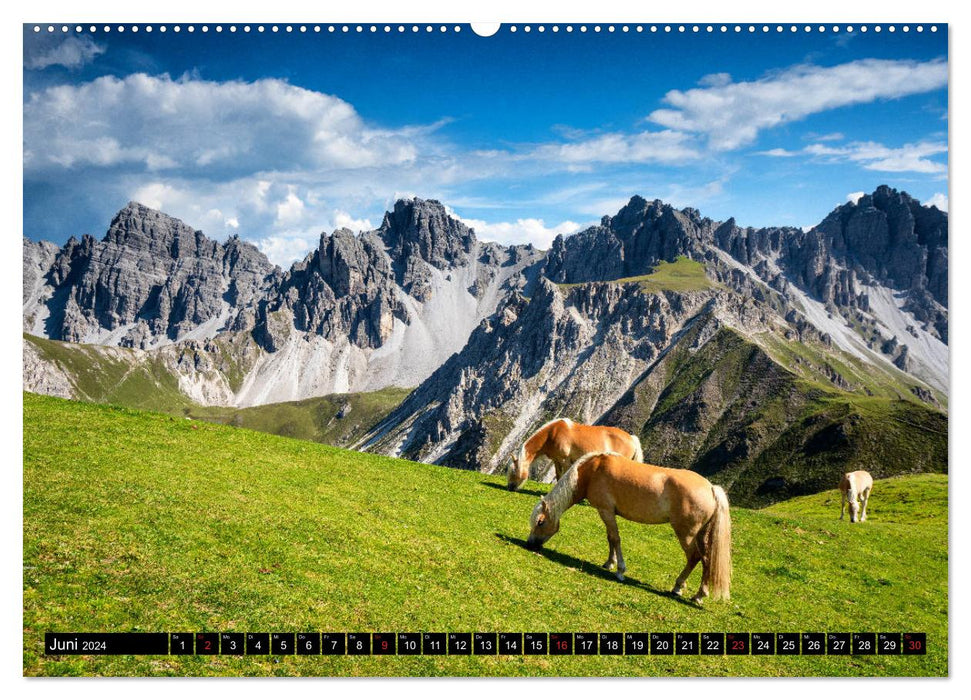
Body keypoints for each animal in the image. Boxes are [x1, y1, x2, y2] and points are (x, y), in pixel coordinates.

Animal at [508, 418, 644, 490]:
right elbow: (558, 476)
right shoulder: (557, 460)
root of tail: (632, 438)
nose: (510, 487)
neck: (552, 433)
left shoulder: (565, 460)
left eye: (514, 471)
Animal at [528, 452, 732, 604]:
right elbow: (610, 538)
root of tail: (711, 488)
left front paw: (620, 571)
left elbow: (615, 538)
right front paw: (609, 563)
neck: (592, 471)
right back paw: (698, 594)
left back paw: (680, 588)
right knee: (707, 559)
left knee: (695, 557)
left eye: (540, 522)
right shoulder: (607, 513)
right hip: (701, 535)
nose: (530, 544)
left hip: (686, 534)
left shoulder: (606, 511)